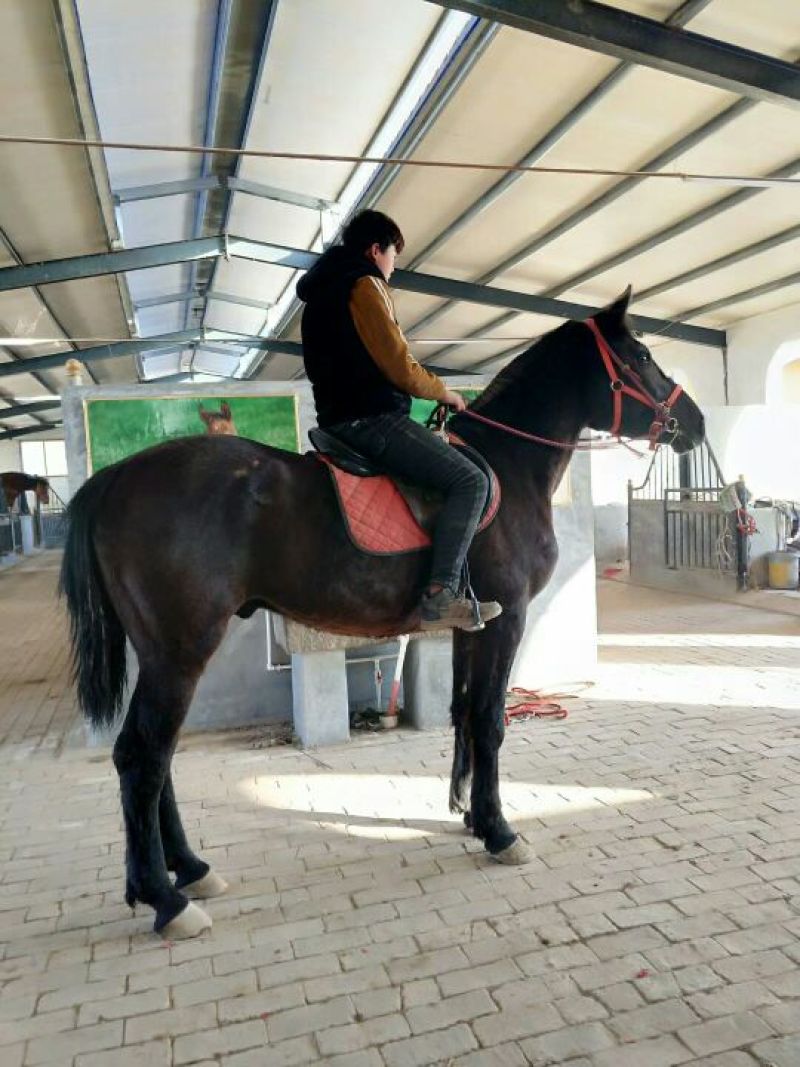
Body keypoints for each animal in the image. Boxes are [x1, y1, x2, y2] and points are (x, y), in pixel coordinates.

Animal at [59, 289, 705, 938]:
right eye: (641, 357)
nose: (695, 424)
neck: (506, 464)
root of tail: (115, 477)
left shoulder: (471, 627)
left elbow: (464, 714)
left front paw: (469, 814)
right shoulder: (508, 620)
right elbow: (491, 721)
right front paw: (500, 832)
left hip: (166, 655)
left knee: (156, 756)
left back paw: (190, 871)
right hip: (180, 651)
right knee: (142, 757)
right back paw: (165, 898)